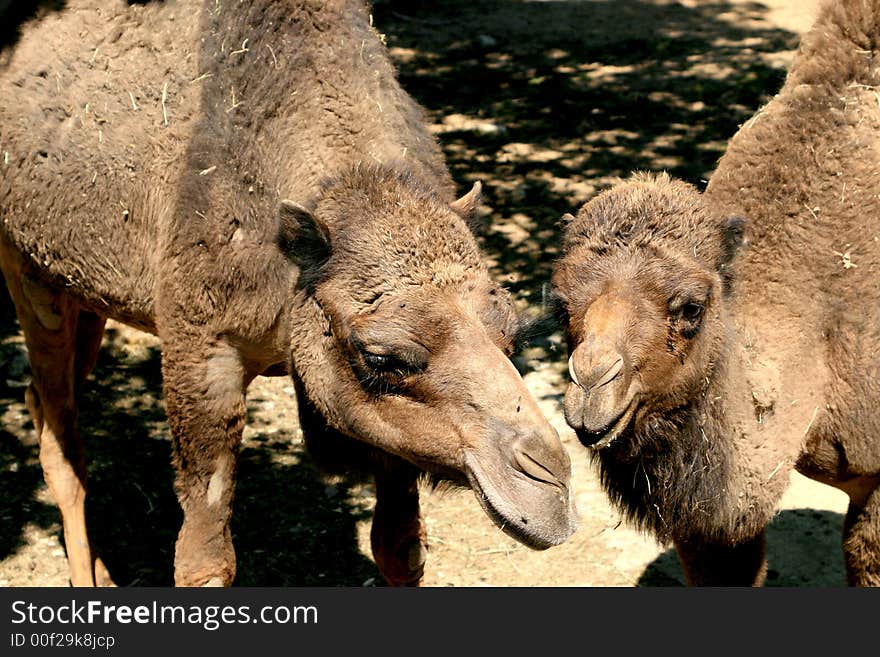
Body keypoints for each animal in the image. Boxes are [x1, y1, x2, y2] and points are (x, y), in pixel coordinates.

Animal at [0, 0, 576, 584]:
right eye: (379, 356)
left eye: (511, 335)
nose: (551, 488)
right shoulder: (201, 350)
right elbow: (204, 563)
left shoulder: (382, 423)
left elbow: (400, 548)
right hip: (27, 271)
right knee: (61, 443)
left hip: (83, 292)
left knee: (41, 401)